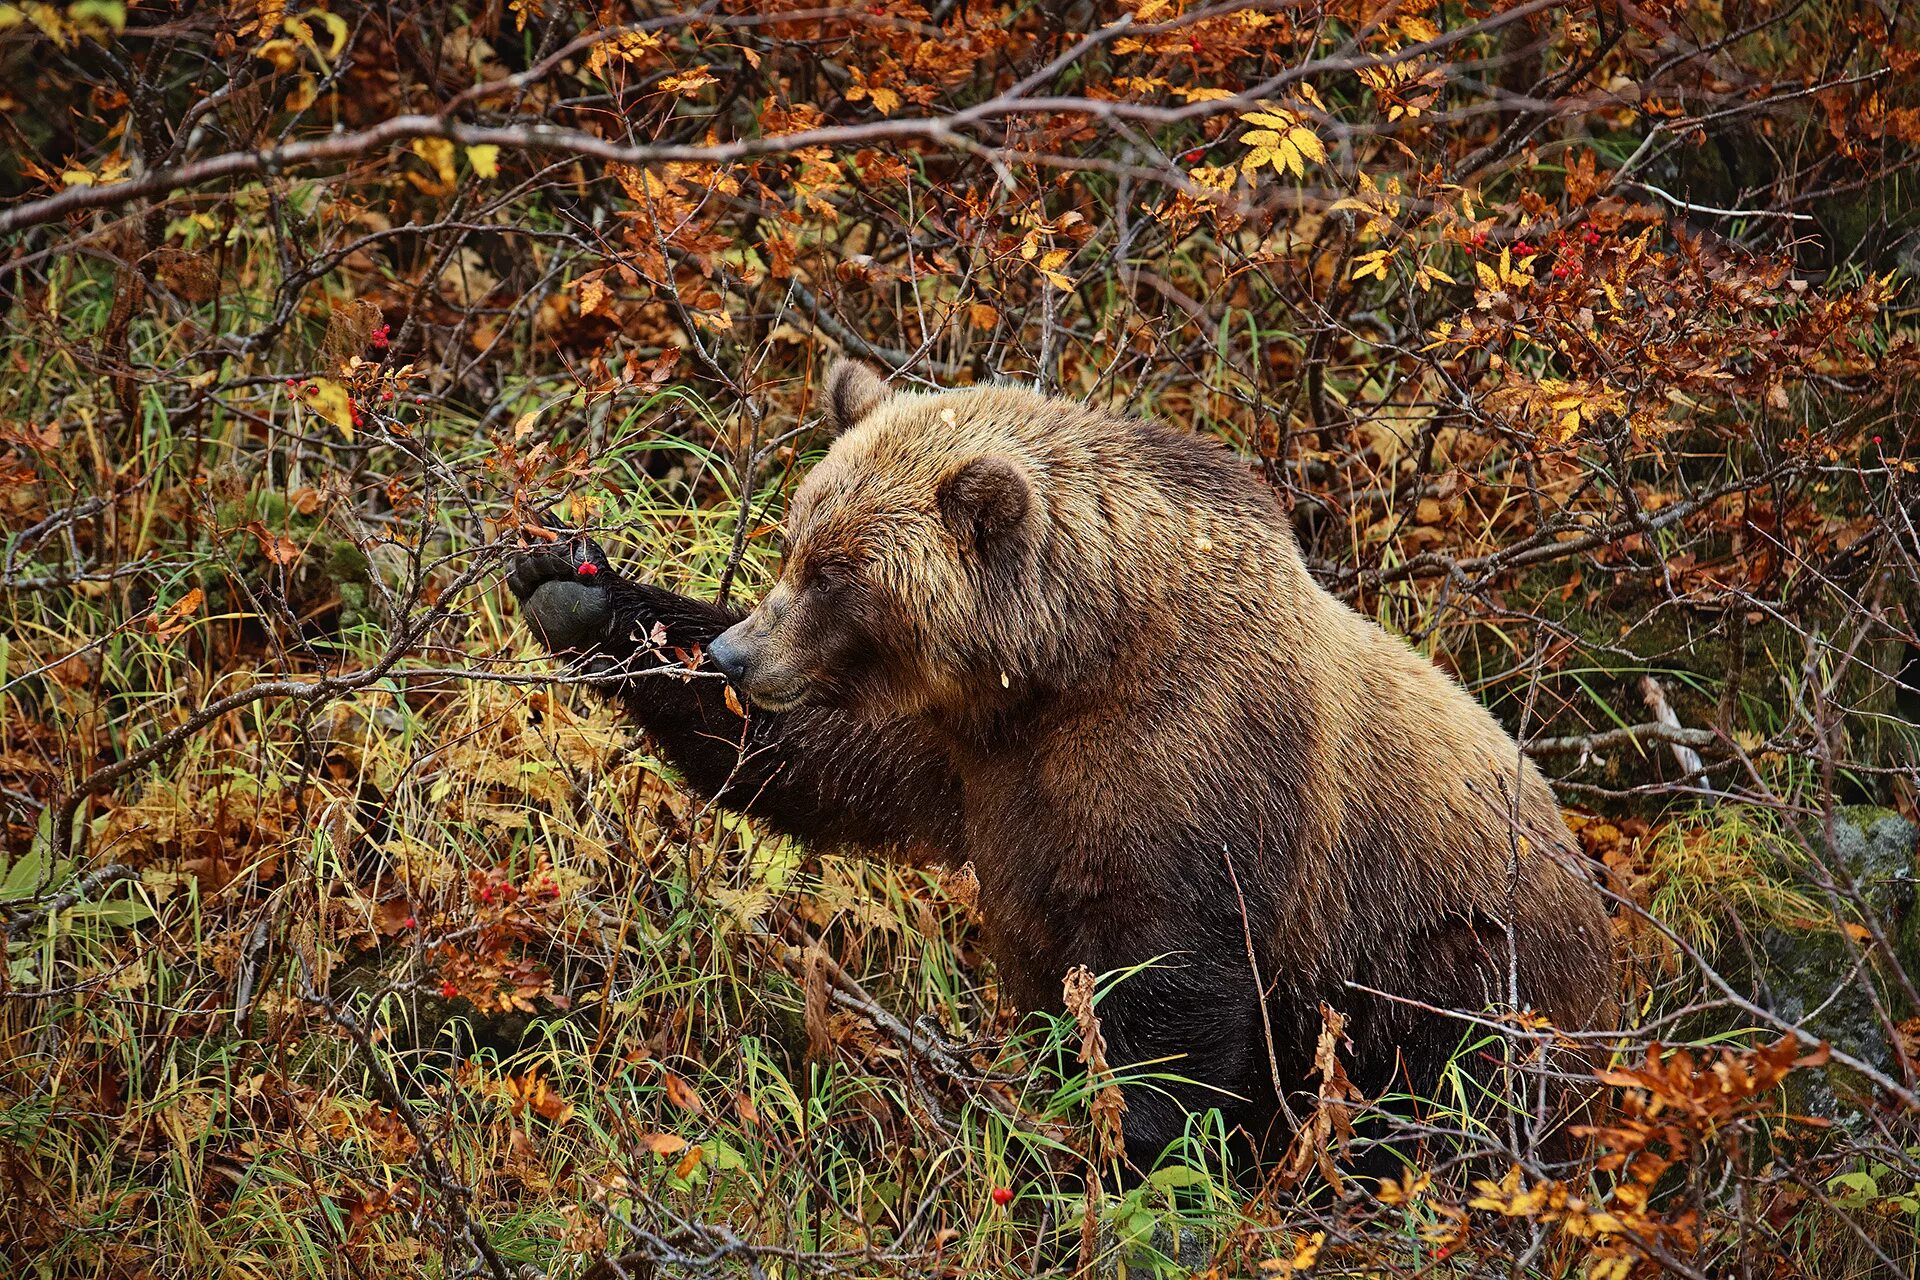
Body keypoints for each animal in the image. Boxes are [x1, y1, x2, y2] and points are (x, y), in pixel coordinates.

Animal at [510, 360, 1620, 1174]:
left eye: (838, 573)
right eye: (793, 541)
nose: (742, 655)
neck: (1069, 662)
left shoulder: (1192, 763)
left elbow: (1170, 978)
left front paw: (1121, 1150)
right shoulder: (966, 751)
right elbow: (813, 762)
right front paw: (570, 582)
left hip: (1457, 961)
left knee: (1446, 1090)